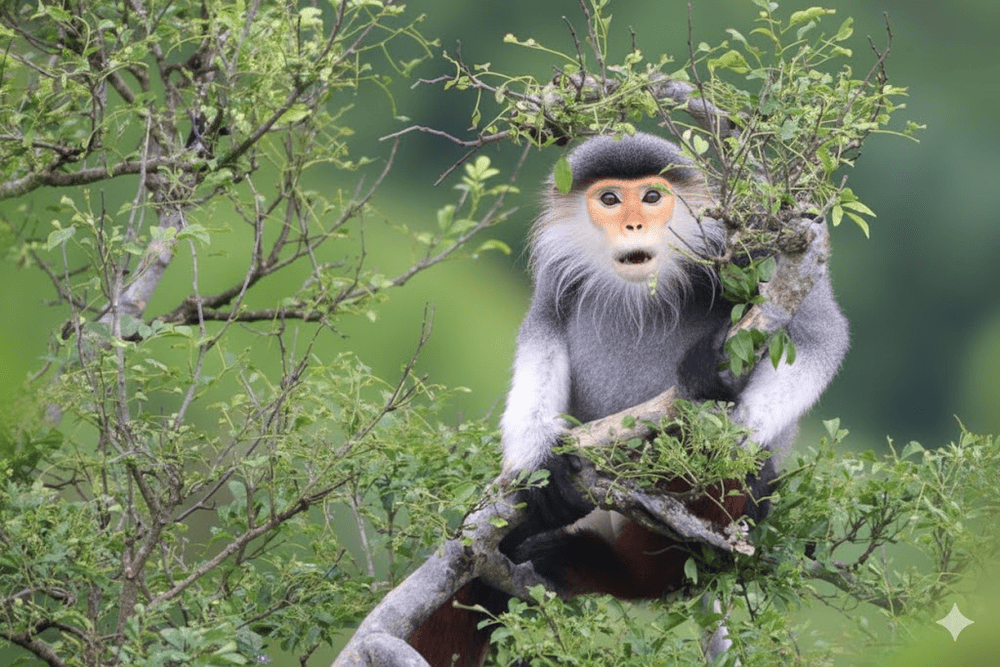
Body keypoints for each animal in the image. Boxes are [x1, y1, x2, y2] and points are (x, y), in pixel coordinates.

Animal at [408, 132, 849, 666]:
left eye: (653, 197)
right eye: (611, 200)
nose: (634, 224)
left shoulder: (753, 250)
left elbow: (820, 334)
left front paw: (718, 411)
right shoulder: (556, 282)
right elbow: (542, 338)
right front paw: (542, 466)